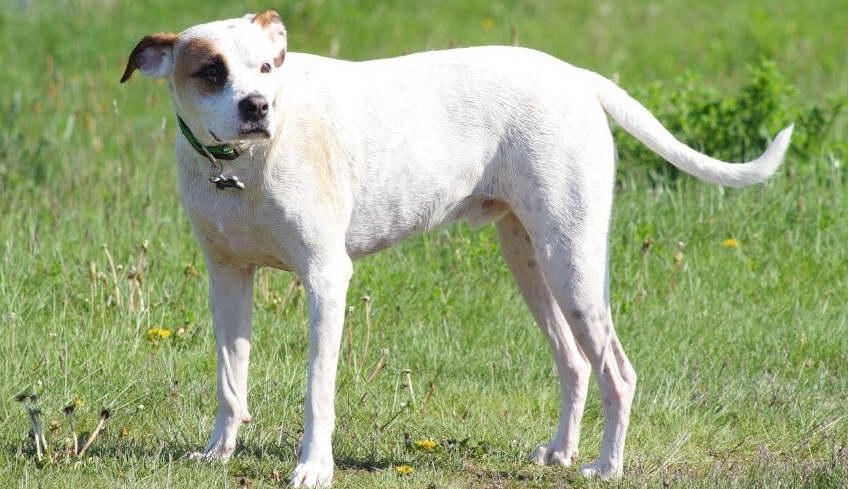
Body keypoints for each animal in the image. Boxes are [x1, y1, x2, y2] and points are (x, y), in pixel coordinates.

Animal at [122, 10, 792, 484]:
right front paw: (218, 453)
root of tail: (576, 76)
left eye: (269, 67)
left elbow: (318, 389)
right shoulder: (228, 279)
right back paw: (561, 453)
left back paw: (607, 467)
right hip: (530, 263)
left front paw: (314, 467)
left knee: (617, 374)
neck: (243, 165)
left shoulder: (326, 280)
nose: (258, 106)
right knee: (575, 362)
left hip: (572, 266)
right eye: (211, 72)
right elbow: (230, 381)